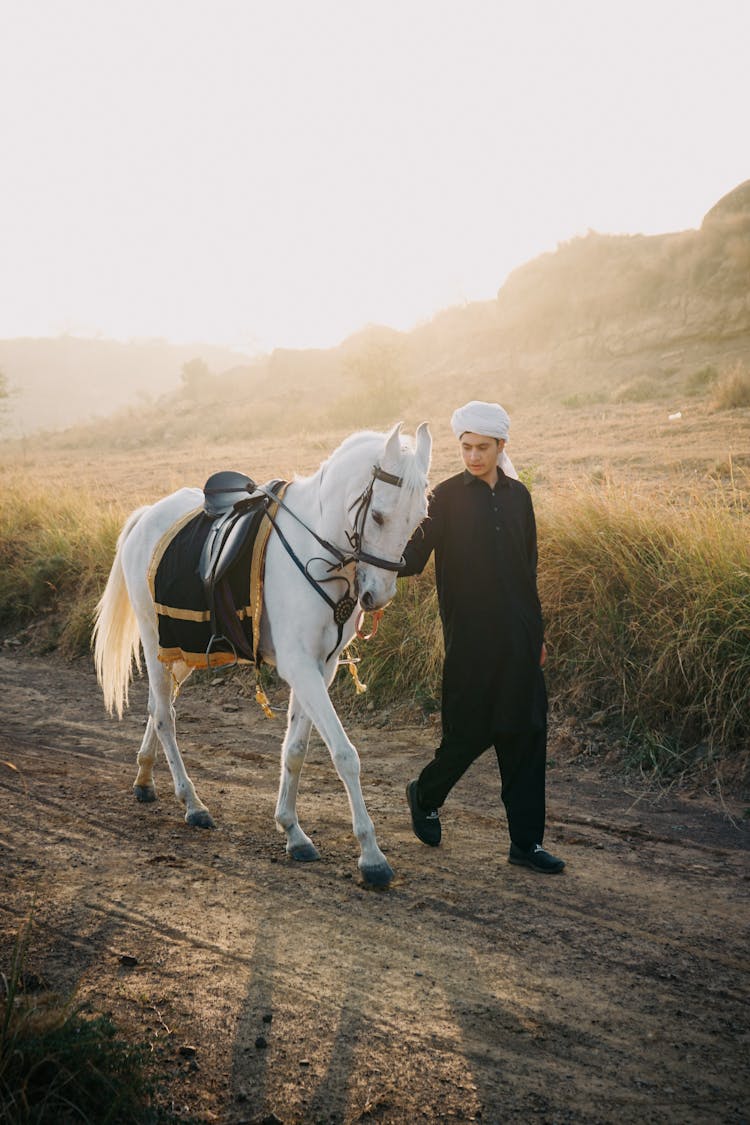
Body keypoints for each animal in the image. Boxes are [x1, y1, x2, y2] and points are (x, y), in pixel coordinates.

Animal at [93, 423, 431, 886]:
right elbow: (345, 754)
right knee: (163, 716)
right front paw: (371, 856)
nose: (377, 597)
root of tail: (146, 515)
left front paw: (292, 831)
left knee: (157, 709)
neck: (316, 548)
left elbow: (297, 749)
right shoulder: (300, 667)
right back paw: (192, 803)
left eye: (419, 519)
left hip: (183, 649)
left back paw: (145, 778)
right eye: (378, 515)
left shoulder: (321, 668)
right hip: (153, 637)